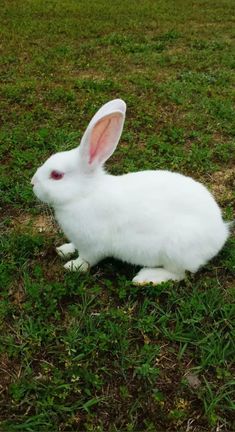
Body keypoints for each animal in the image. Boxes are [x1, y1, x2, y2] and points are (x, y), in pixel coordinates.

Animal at [31, 99, 229, 286]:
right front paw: (63, 249)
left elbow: (86, 260)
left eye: (56, 175)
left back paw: (146, 277)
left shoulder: (93, 247)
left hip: (176, 250)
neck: (84, 194)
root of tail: (221, 232)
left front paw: (72, 266)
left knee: (180, 274)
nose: (32, 183)